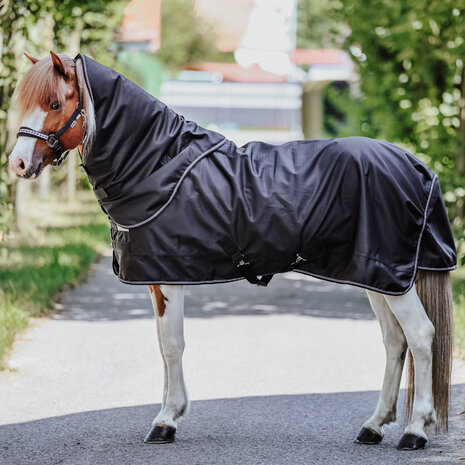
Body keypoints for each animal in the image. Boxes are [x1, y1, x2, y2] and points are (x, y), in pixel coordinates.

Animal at [9, 51, 454, 450]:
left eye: (54, 103)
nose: (17, 164)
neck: (157, 165)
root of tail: (416, 166)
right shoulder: (157, 279)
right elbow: (163, 345)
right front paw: (171, 414)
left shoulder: (169, 278)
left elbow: (172, 344)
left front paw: (165, 421)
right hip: (377, 277)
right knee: (394, 342)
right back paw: (374, 427)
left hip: (391, 276)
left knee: (420, 335)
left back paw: (415, 431)